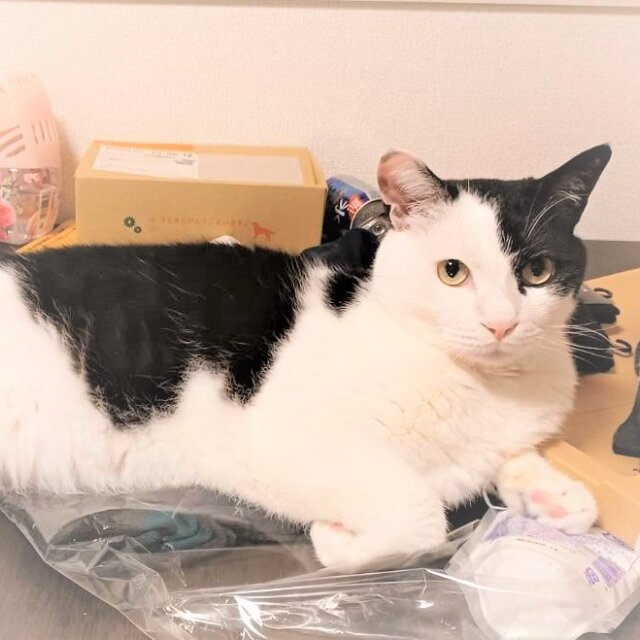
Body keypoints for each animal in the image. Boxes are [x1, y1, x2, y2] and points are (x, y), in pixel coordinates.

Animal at [0, 144, 610, 571]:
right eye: (452, 272)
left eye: (538, 272)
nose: (501, 322)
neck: (480, 383)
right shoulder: (281, 440)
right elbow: (421, 515)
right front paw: (334, 539)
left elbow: (517, 465)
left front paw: (557, 496)